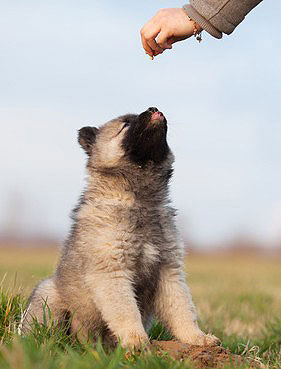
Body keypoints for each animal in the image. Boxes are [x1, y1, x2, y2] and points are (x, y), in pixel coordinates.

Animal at [20, 106, 215, 348]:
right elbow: (126, 312)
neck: (140, 201)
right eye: (125, 124)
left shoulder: (169, 271)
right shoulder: (112, 271)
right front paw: (136, 341)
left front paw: (196, 338)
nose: (154, 108)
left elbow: (182, 309)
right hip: (49, 296)